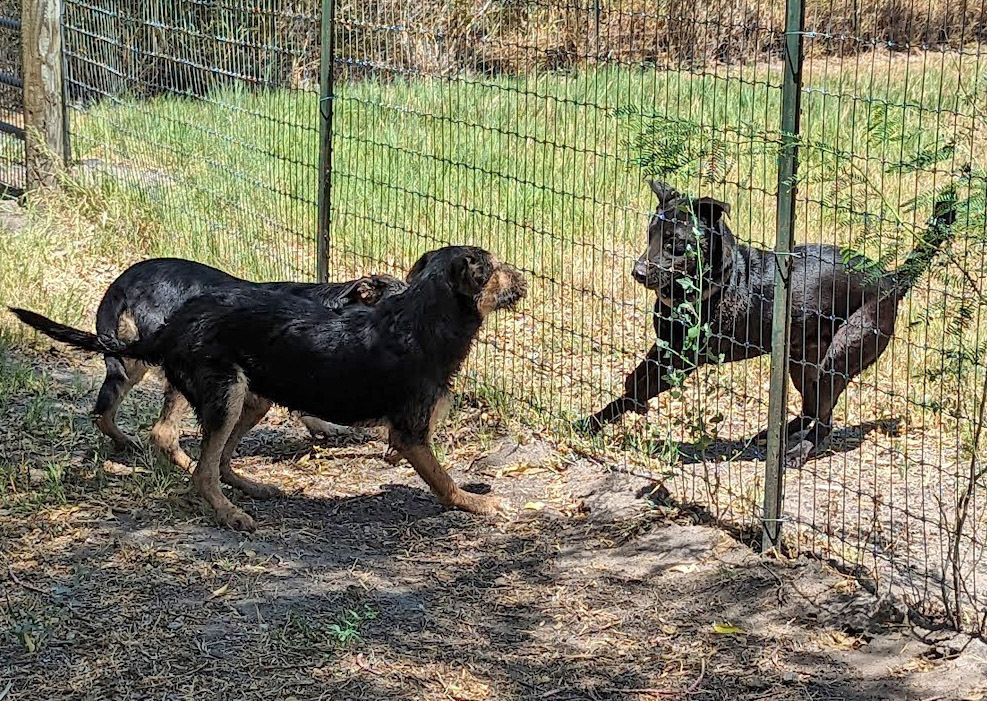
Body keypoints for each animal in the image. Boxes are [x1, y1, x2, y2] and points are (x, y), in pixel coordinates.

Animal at [580, 180, 956, 468]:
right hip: (802, 362)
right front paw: (593, 421)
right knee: (812, 410)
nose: (638, 272)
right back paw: (771, 435)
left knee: (824, 421)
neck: (716, 282)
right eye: (651, 235)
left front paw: (612, 416)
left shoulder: (681, 360)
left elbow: (637, 389)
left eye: (674, 242)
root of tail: (890, 280)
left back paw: (797, 452)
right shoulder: (663, 348)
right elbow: (632, 383)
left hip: (838, 356)